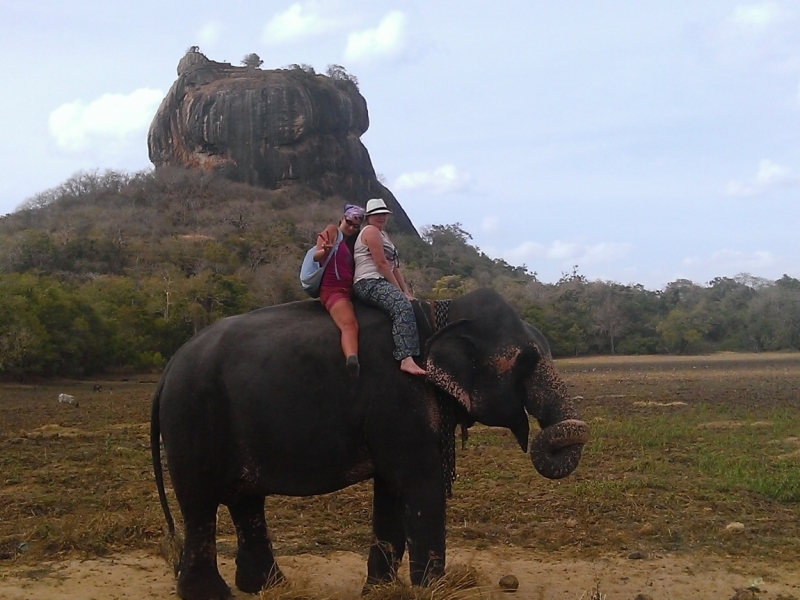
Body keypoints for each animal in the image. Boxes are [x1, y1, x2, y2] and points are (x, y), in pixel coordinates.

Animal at [152, 288, 588, 596]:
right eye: (527, 361)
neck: (437, 313)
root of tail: (168, 368)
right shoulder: (401, 397)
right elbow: (421, 484)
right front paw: (435, 591)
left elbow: (391, 490)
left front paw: (379, 590)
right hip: (192, 420)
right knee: (200, 504)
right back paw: (214, 595)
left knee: (246, 501)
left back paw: (268, 588)